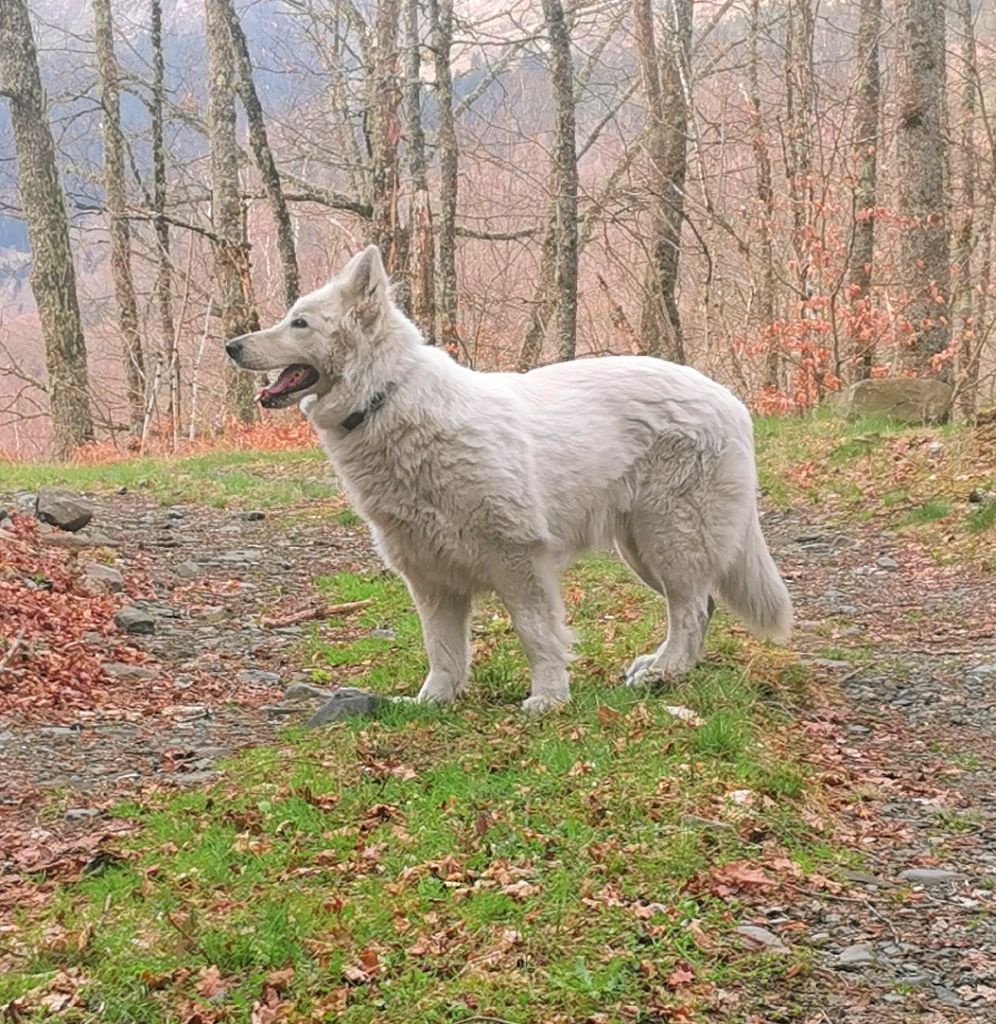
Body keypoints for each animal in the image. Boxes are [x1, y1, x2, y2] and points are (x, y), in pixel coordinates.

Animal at [227, 247, 794, 712]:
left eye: (300, 323)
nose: (231, 346)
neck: (385, 398)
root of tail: (729, 401)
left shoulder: (518, 559)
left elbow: (536, 634)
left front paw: (549, 698)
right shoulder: (429, 576)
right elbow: (442, 648)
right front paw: (432, 701)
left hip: (670, 539)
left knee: (692, 609)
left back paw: (664, 673)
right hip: (643, 549)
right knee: (702, 606)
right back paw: (666, 670)